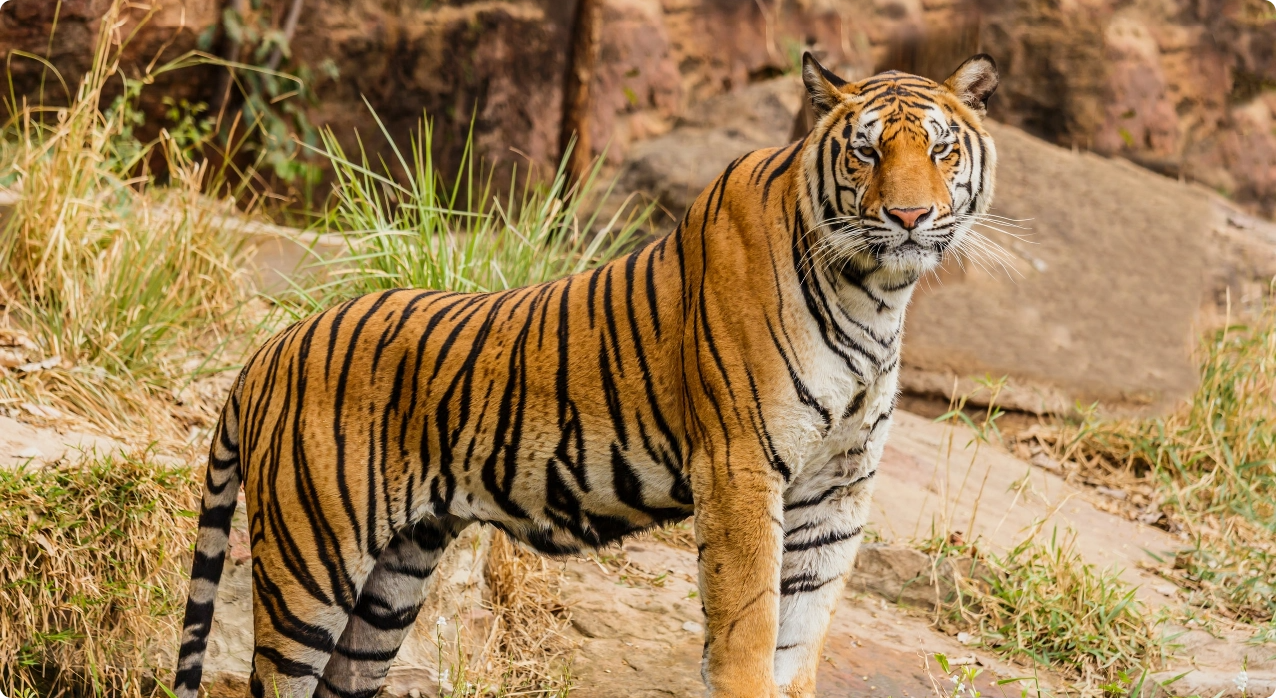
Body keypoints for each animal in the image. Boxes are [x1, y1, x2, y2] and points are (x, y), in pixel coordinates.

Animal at [172, 52, 998, 698]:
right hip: (310, 564)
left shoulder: (838, 488)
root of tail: (269, 350)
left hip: (392, 583)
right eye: (866, 152)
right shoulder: (740, 469)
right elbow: (748, 629)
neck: (876, 294)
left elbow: (800, 636)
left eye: (941, 151)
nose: (910, 218)